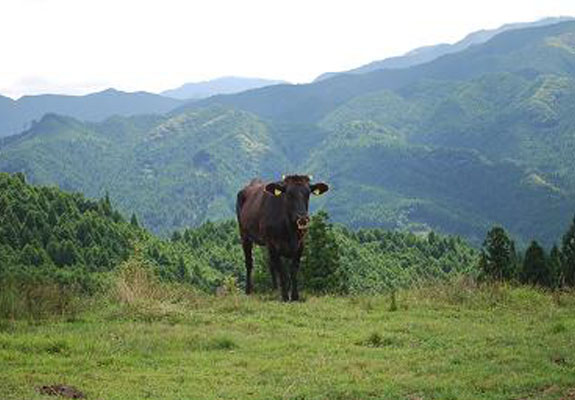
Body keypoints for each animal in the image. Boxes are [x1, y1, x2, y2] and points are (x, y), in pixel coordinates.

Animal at [236, 173, 330, 302]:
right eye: (289, 194)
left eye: (308, 193)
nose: (302, 219)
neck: (290, 229)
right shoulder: (273, 244)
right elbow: (282, 271)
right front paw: (285, 296)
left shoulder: (300, 244)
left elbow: (293, 270)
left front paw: (294, 296)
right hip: (244, 235)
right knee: (249, 262)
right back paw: (248, 291)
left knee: (270, 263)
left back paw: (274, 289)